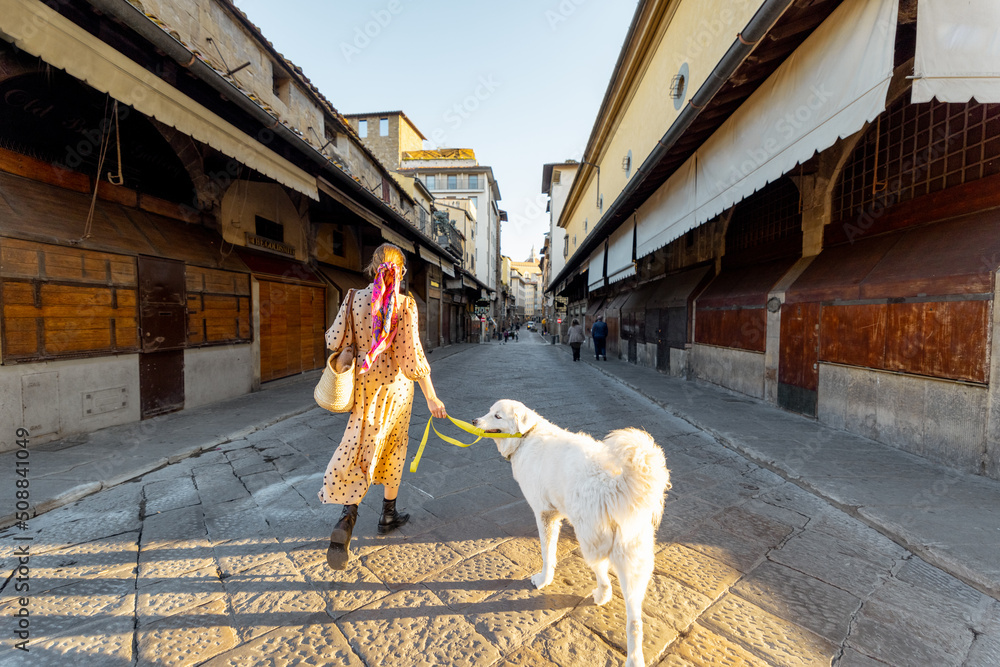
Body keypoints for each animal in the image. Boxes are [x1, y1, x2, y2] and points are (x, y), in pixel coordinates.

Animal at [472, 400, 668, 664]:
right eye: (489, 411)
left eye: (497, 416)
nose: (474, 421)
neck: (526, 436)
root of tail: (615, 487)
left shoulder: (545, 514)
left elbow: (547, 554)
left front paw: (543, 580)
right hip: (633, 563)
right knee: (635, 621)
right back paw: (634, 659)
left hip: (589, 544)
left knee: (605, 579)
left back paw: (600, 596)